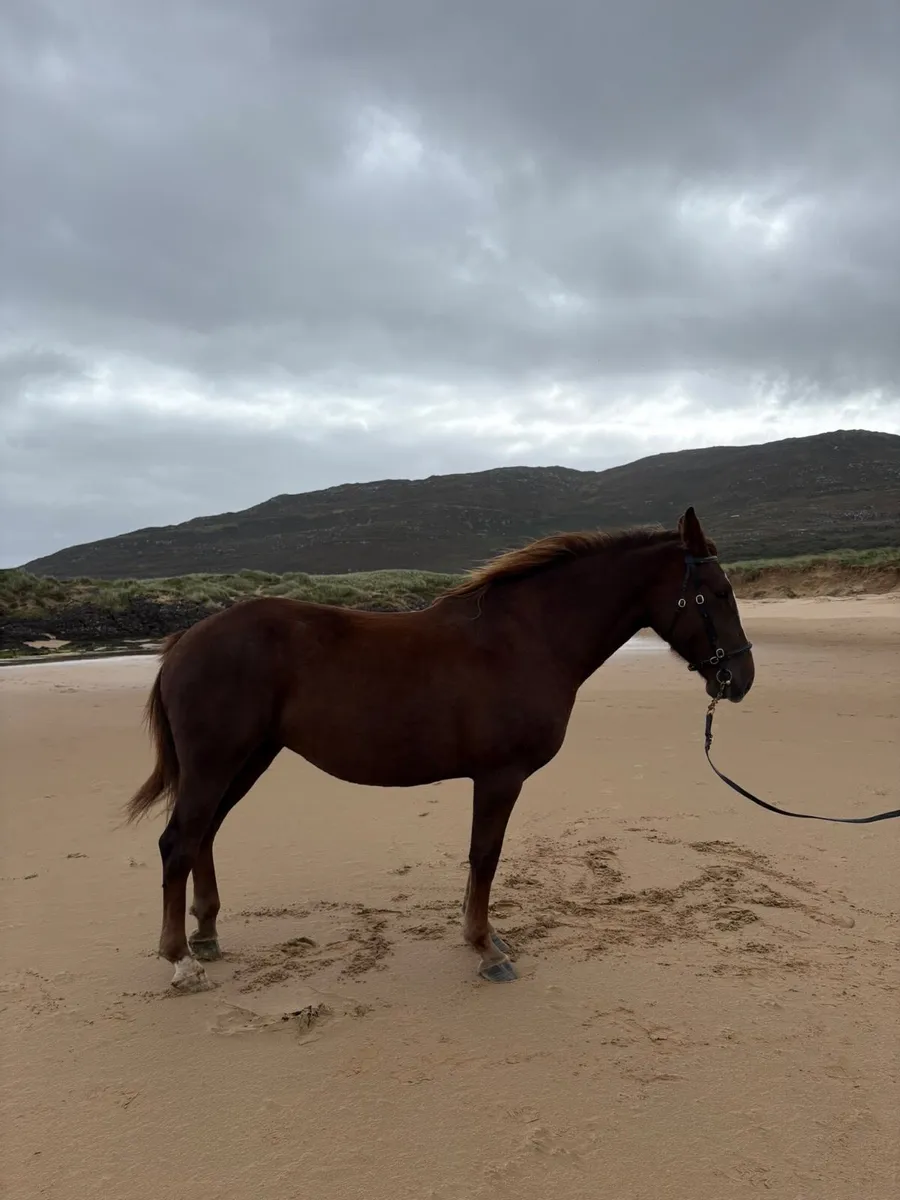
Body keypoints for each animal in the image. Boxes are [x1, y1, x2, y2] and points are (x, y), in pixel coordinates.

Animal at [125, 506, 754, 992]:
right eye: (717, 593)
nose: (741, 679)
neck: (527, 639)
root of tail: (188, 638)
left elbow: (481, 859)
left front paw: (486, 936)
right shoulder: (500, 777)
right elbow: (485, 855)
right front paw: (485, 949)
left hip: (248, 760)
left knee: (204, 835)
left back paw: (206, 935)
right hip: (218, 763)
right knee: (178, 842)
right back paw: (181, 961)